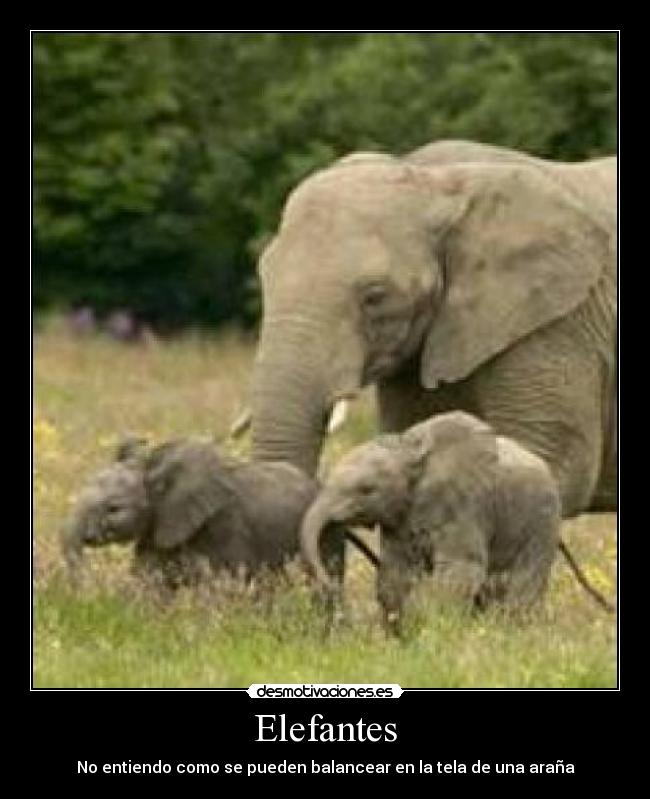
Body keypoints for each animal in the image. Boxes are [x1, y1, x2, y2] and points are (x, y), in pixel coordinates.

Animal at [62, 437, 377, 590]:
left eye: (113, 508)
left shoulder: (226, 526)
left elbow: (225, 584)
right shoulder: (160, 525)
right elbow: (150, 582)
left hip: (328, 536)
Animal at [300, 412, 613, 632]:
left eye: (366, 490)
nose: (330, 588)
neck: (408, 451)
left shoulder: (466, 504)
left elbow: (461, 571)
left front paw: (430, 631)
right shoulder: (401, 515)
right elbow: (396, 573)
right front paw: (402, 635)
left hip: (541, 522)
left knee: (519, 584)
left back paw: (510, 634)